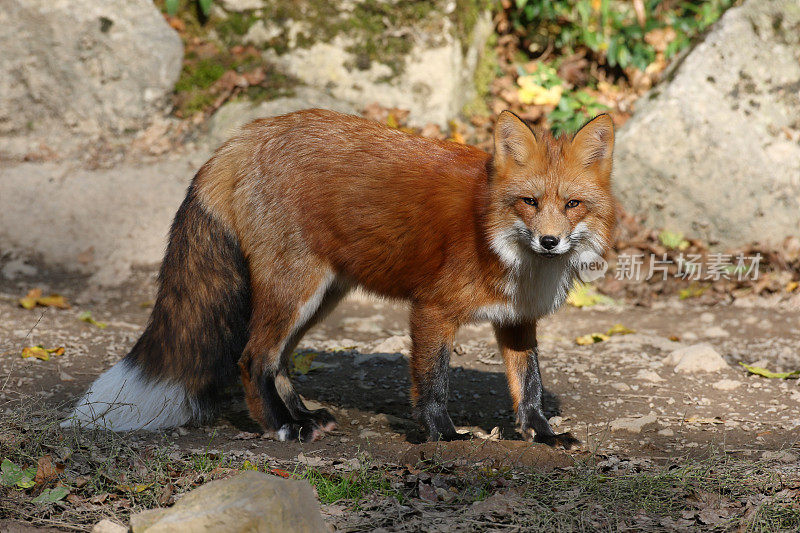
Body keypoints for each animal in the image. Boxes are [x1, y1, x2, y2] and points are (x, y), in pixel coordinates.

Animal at [64, 108, 612, 444]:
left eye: (572, 205)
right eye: (529, 202)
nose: (549, 242)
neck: (491, 232)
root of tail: (244, 136)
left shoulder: (518, 321)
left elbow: (530, 385)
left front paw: (542, 434)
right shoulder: (431, 310)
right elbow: (433, 384)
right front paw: (443, 435)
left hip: (321, 297)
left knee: (278, 361)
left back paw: (303, 416)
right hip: (296, 292)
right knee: (251, 358)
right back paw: (280, 428)